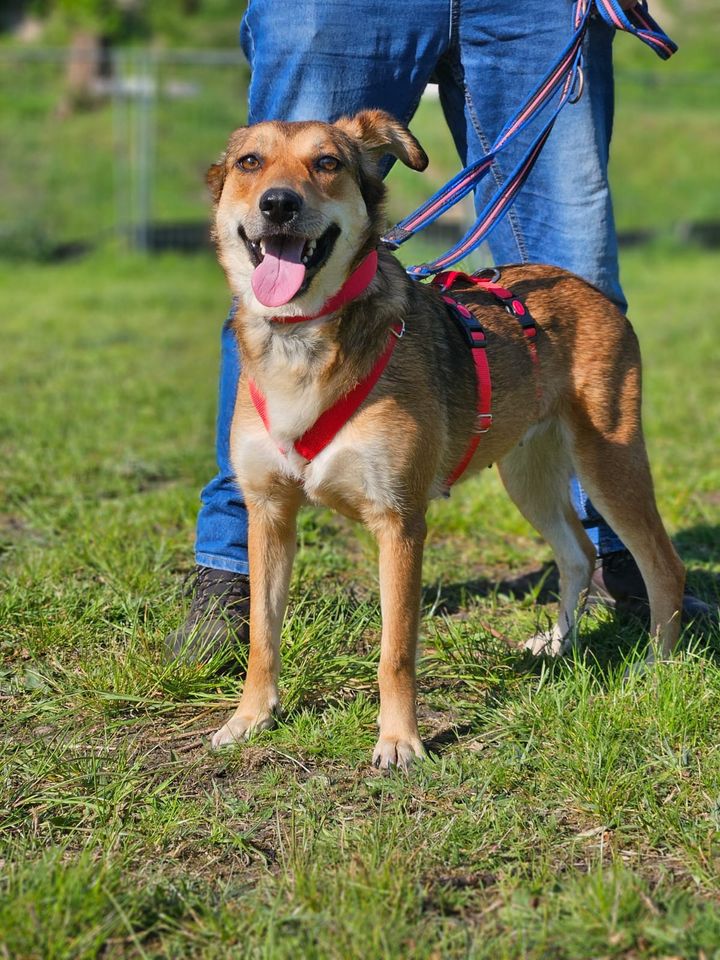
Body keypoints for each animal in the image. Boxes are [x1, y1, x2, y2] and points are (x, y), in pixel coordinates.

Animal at [204, 109, 688, 768]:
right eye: (250, 162)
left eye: (327, 162)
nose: (278, 204)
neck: (301, 342)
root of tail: (581, 286)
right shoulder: (269, 512)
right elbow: (262, 636)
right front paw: (251, 717)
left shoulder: (399, 522)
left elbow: (396, 651)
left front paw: (399, 740)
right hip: (527, 475)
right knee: (577, 555)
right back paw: (557, 645)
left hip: (607, 462)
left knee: (662, 564)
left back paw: (656, 667)